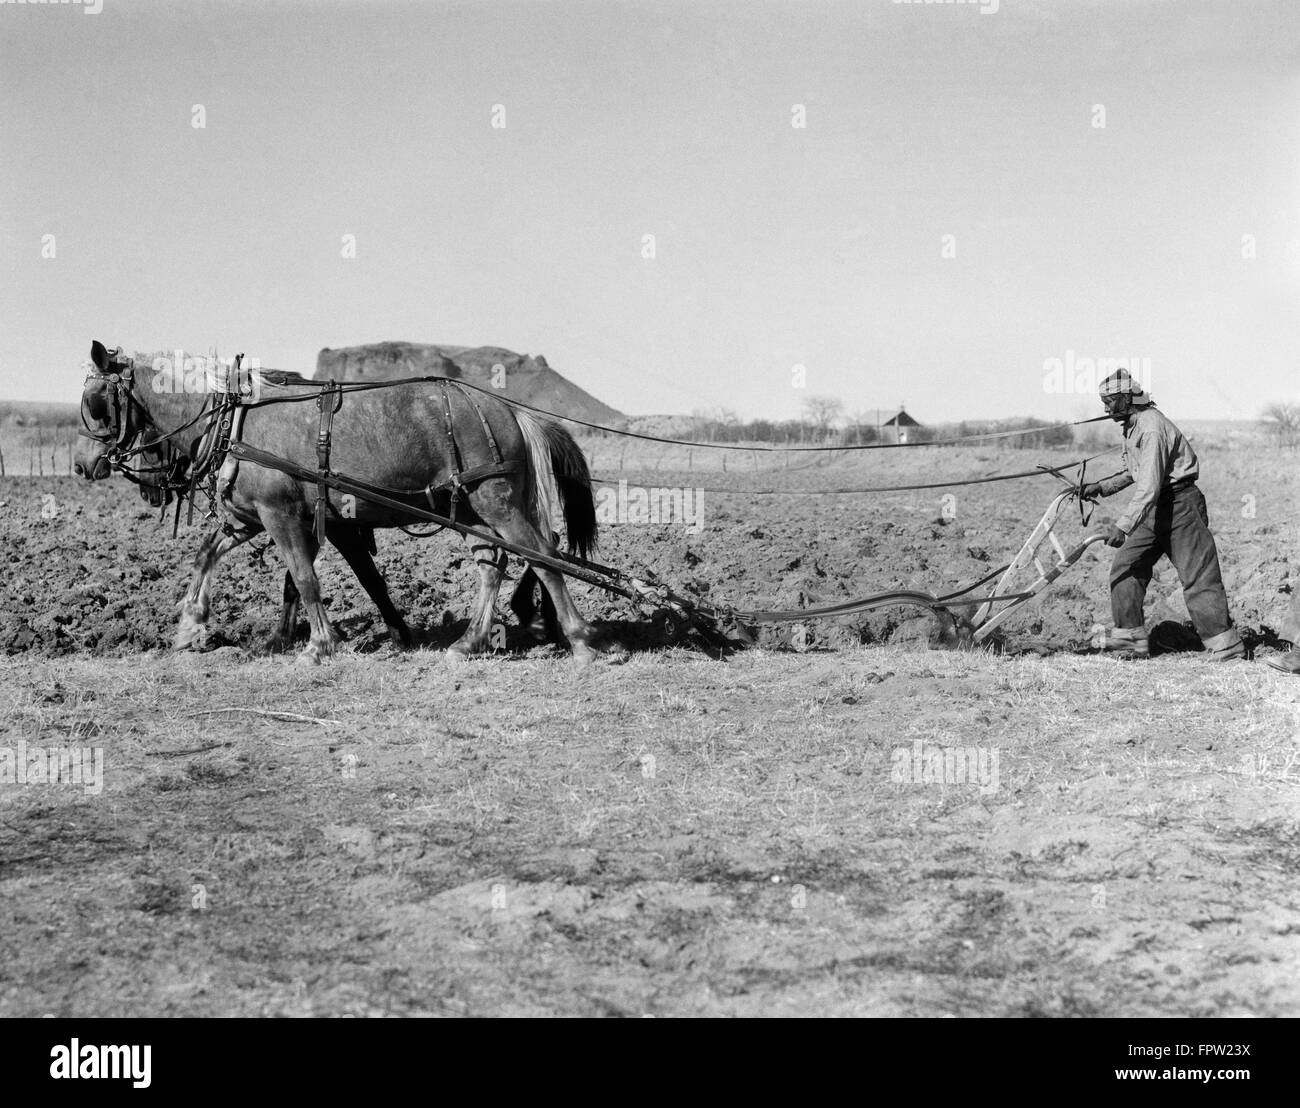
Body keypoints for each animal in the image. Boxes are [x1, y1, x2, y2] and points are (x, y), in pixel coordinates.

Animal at [74, 340, 612, 664]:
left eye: (97, 404)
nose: (81, 465)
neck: (234, 421)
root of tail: (509, 410)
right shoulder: (255, 516)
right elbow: (209, 556)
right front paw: (191, 626)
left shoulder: (280, 514)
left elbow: (305, 579)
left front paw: (319, 645)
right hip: (470, 507)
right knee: (495, 562)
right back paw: (470, 641)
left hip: (494, 500)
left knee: (540, 554)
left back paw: (579, 639)